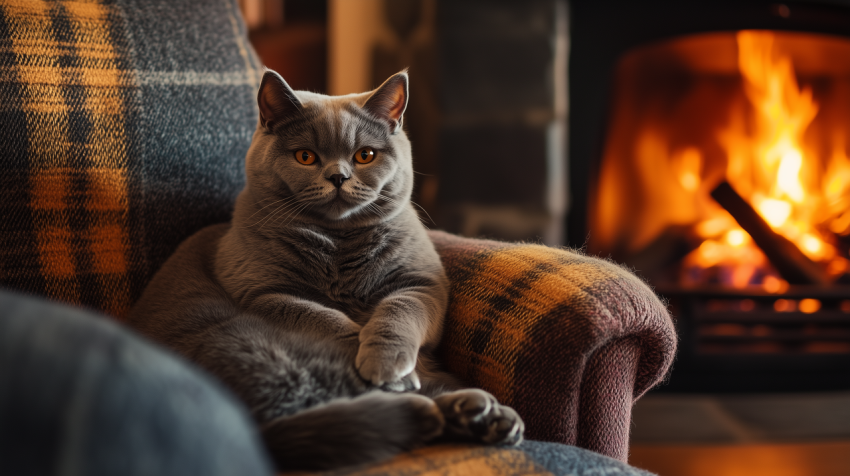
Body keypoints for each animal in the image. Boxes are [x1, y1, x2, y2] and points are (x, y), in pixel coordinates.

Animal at [126, 69, 524, 470]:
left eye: (365, 155)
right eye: (306, 156)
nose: (338, 176)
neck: (338, 242)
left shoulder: (422, 285)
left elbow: (398, 311)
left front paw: (386, 360)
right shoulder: (264, 293)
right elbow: (327, 319)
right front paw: (385, 367)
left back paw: (487, 416)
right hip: (243, 341)